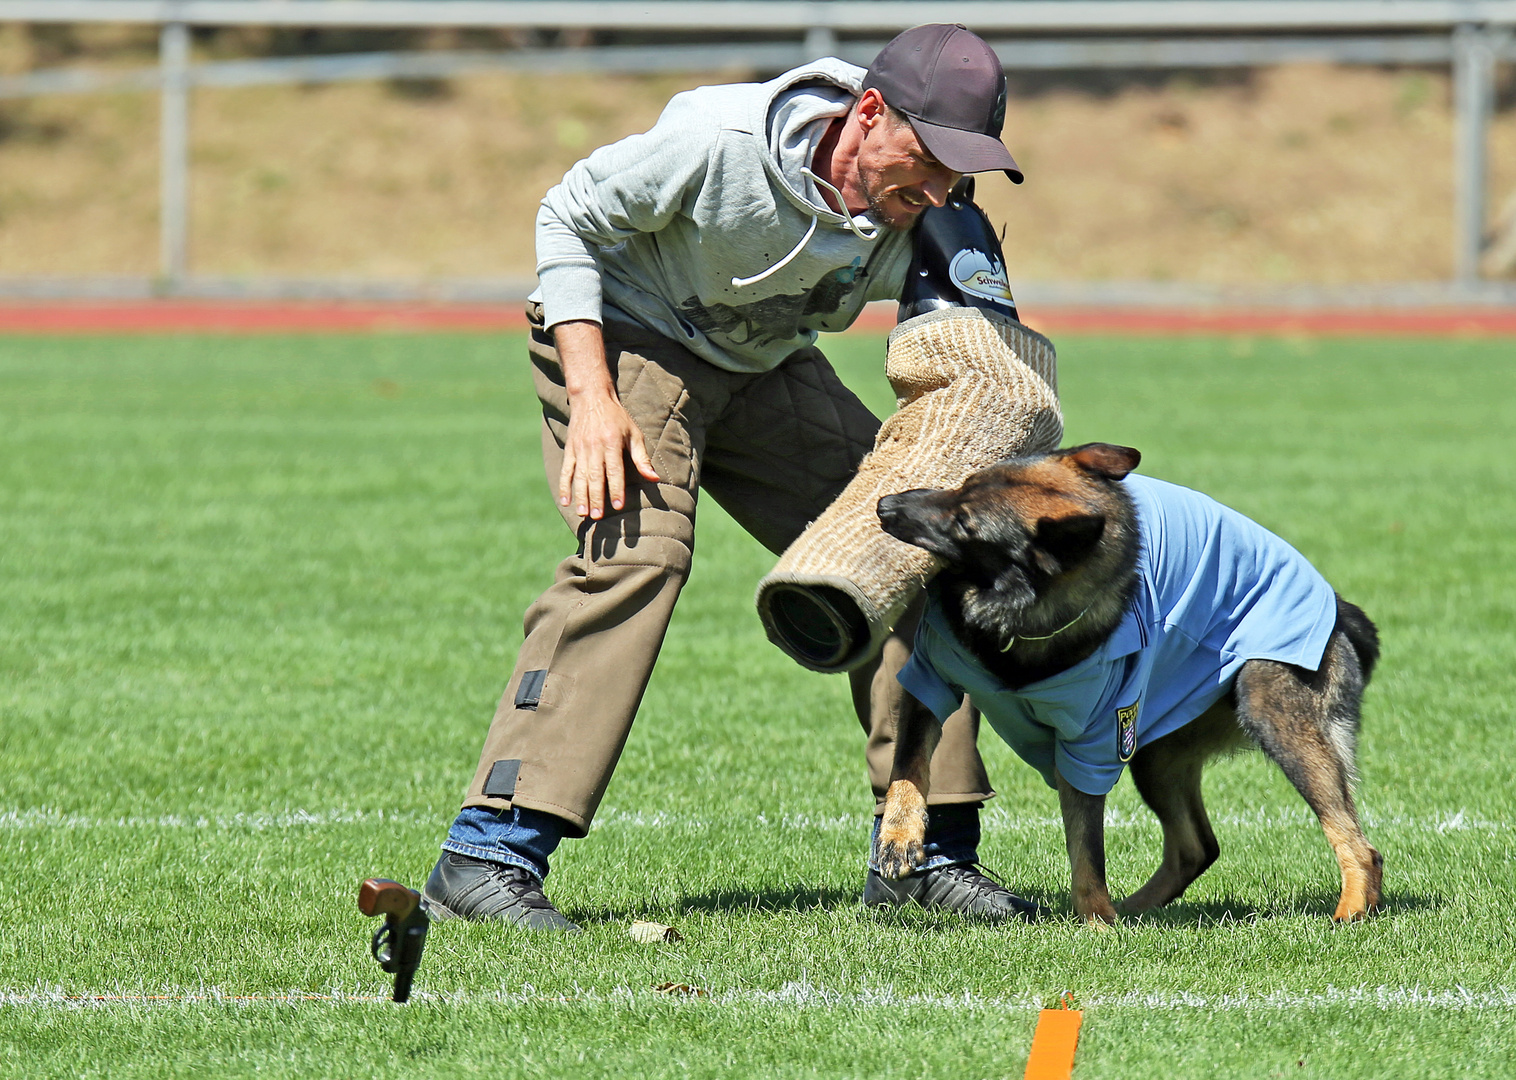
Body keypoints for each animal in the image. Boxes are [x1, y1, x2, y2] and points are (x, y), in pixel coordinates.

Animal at [879, 442, 1388, 922]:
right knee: (1196, 848)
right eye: (961, 483)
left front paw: (1097, 924)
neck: (1020, 619)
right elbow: (909, 764)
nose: (886, 504)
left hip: (1273, 715)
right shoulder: (929, 681)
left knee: (1358, 842)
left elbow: (1087, 848)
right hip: (1156, 757)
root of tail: (1342, 611)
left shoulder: (1092, 746)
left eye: (966, 523)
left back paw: (1350, 909)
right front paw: (899, 835)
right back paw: (1135, 910)